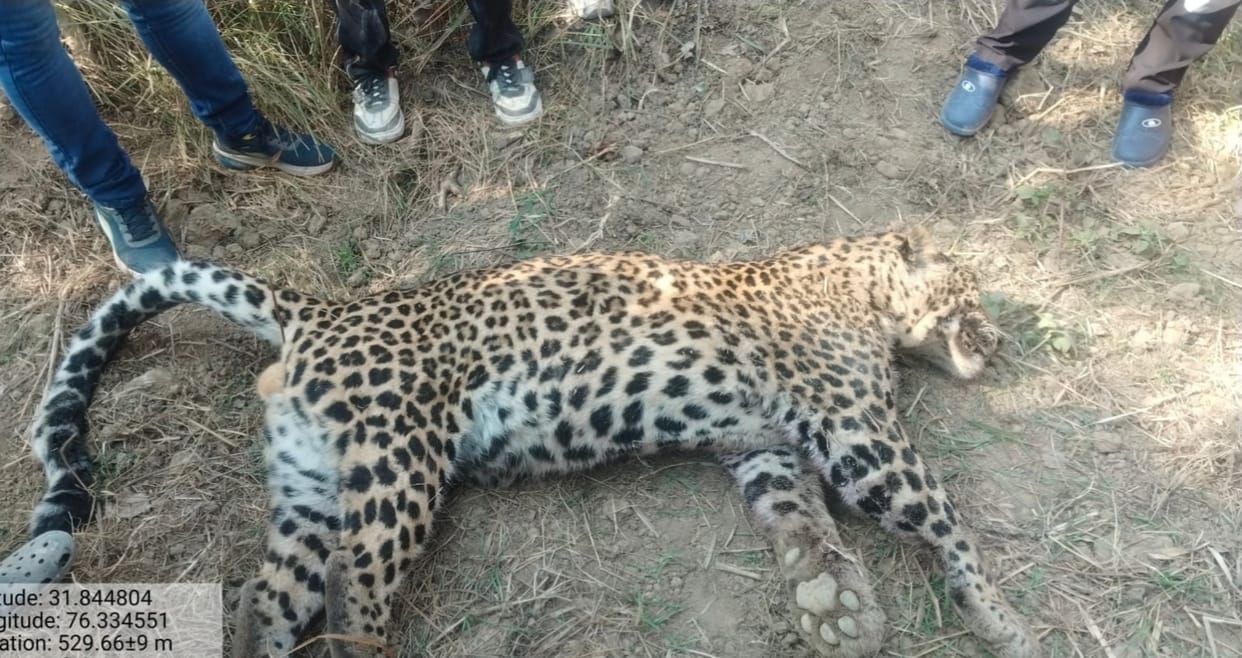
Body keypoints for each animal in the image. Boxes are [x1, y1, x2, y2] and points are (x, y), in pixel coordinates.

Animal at [0, 227, 1037, 658]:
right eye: (972, 292)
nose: (999, 338)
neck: (860, 286)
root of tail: (320, 311)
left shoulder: (764, 448)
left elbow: (800, 526)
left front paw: (836, 605)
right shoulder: (861, 433)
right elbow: (947, 522)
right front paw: (1003, 622)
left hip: (308, 487)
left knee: (271, 601)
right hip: (398, 466)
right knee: (351, 588)